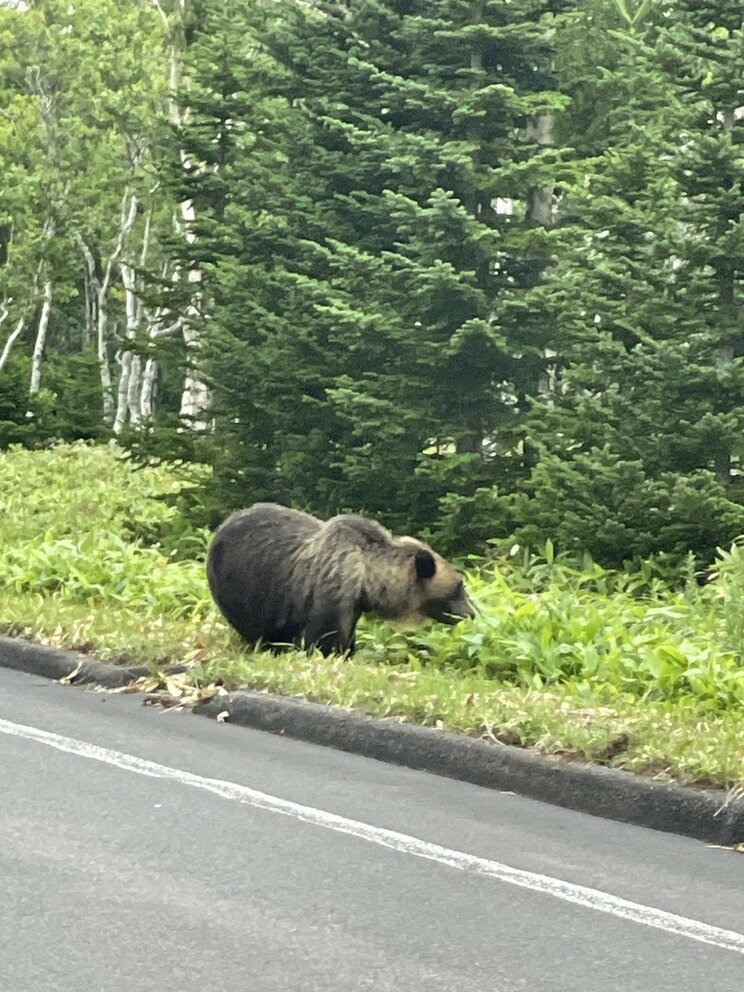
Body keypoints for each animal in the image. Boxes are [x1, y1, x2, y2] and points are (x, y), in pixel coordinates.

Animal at [206, 504, 474, 660]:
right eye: (459, 586)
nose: (472, 613)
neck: (367, 579)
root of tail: (220, 528)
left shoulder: (353, 606)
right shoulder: (329, 592)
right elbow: (322, 638)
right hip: (244, 585)